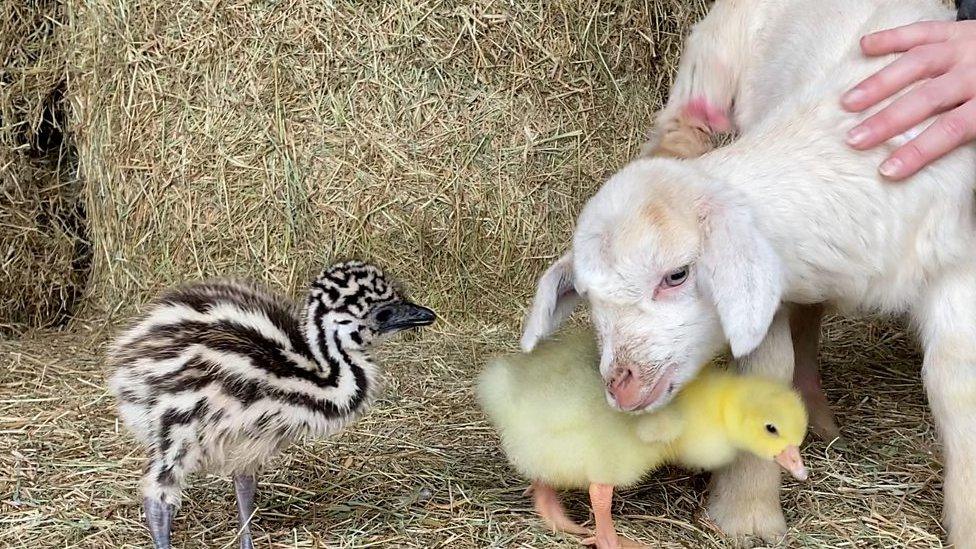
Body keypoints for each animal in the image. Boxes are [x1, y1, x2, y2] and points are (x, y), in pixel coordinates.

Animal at [524, 0, 976, 544]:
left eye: (677, 275)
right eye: (589, 299)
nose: (621, 386)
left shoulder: (955, 260)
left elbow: (957, 383)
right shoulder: (771, 292)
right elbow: (767, 371)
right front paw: (747, 513)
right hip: (707, 67)